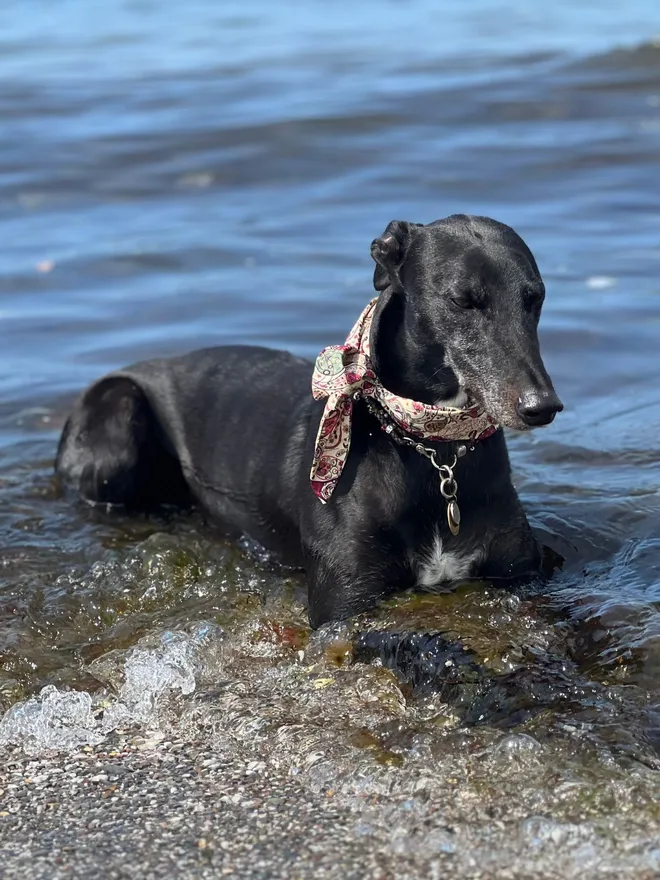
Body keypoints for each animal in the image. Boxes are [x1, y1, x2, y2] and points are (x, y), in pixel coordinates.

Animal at [56, 215, 564, 624]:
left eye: (535, 298)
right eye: (463, 300)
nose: (541, 406)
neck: (433, 448)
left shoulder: (520, 574)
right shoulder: (345, 600)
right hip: (118, 416)